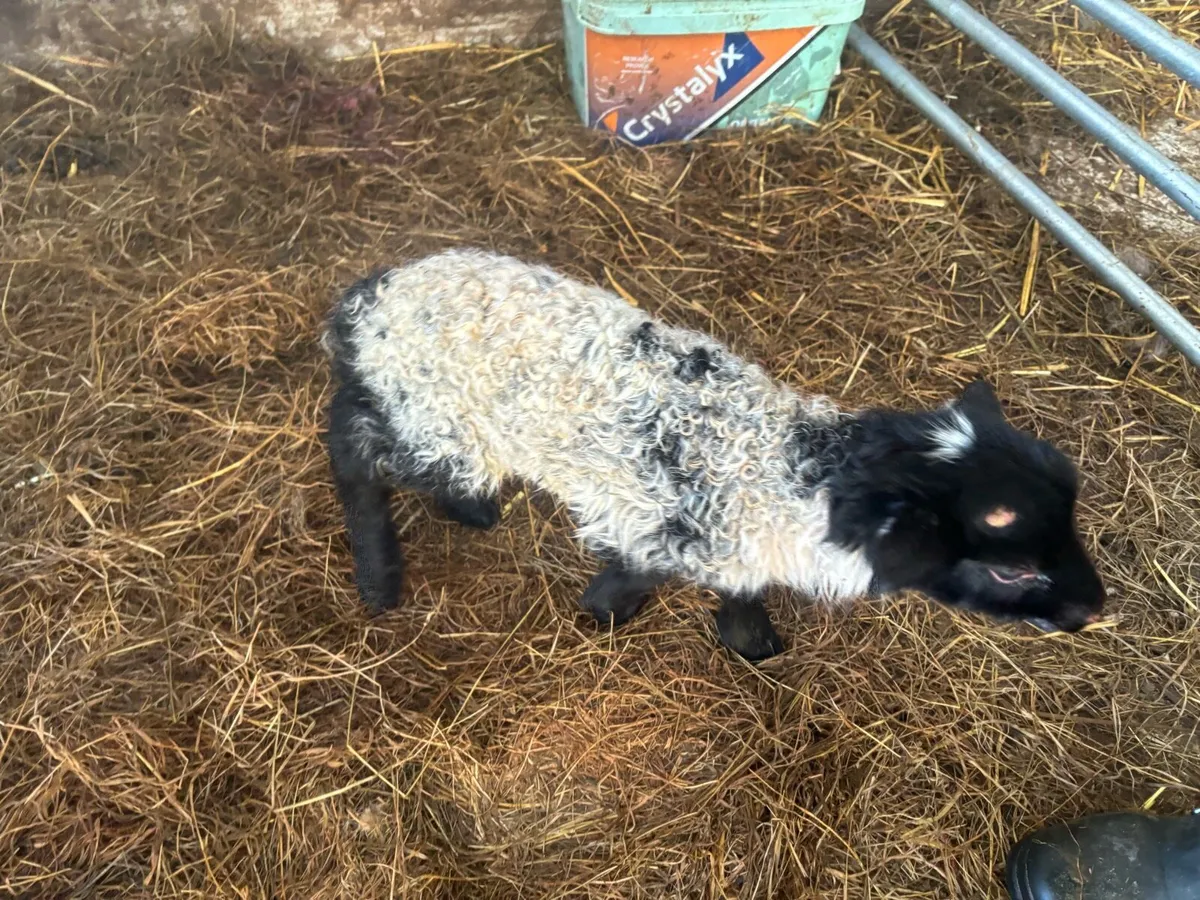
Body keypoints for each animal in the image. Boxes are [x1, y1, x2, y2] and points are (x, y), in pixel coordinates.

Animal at [322, 248, 1105, 660]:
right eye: (1010, 568)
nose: (1091, 610)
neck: (793, 469)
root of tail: (364, 302)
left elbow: (739, 588)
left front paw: (749, 640)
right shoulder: (665, 531)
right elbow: (637, 582)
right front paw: (611, 613)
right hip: (438, 417)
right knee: (352, 450)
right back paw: (386, 573)